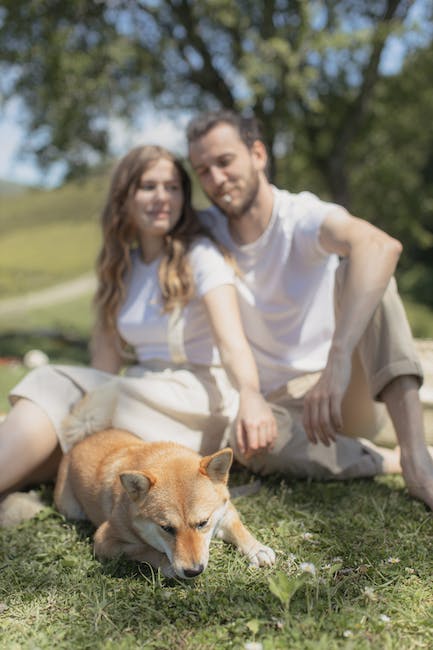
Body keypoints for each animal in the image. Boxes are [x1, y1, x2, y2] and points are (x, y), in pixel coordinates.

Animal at [54, 428, 276, 576]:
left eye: (203, 523)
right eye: (166, 528)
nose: (193, 571)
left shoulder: (224, 511)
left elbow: (238, 528)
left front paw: (257, 549)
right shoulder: (104, 540)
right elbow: (143, 549)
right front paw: (167, 565)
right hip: (70, 508)